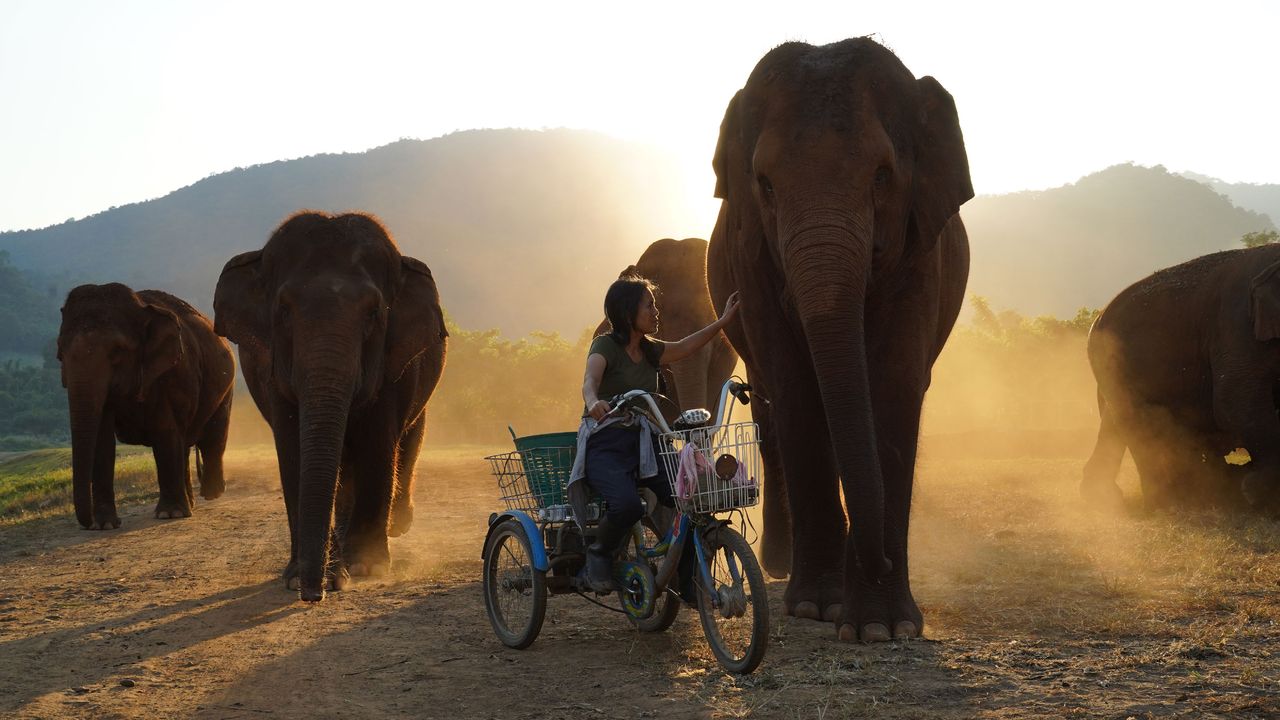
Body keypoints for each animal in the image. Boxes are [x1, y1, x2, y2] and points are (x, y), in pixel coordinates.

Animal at [57, 283, 235, 529]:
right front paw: (104, 525)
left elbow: (164, 430)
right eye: (60, 351)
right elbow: (102, 440)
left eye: (117, 350)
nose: (87, 522)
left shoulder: (172, 373)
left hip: (226, 387)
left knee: (213, 435)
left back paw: (211, 493)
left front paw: (170, 515)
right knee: (185, 444)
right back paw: (190, 504)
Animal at [214, 211, 447, 601]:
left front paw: (366, 567)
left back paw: (396, 525)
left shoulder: (393, 363)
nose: (315, 594)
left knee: (407, 437)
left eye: (373, 313)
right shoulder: (271, 368)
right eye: (284, 310)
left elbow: (377, 443)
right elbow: (294, 449)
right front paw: (303, 576)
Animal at [706, 38, 972, 642]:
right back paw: (782, 567)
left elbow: (894, 382)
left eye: (882, 175)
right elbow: (796, 384)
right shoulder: (751, 259)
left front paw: (881, 629)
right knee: (771, 412)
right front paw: (817, 609)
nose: (880, 559)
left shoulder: (921, 249)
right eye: (764, 184)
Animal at [1083, 244, 1280, 514]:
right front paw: (1256, 495)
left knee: (1113, 423)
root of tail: (1096, 319)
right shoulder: (1236, 328)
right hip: (1112, 363)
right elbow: (1233, 404)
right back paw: (1167, 503)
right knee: (1138, 422)